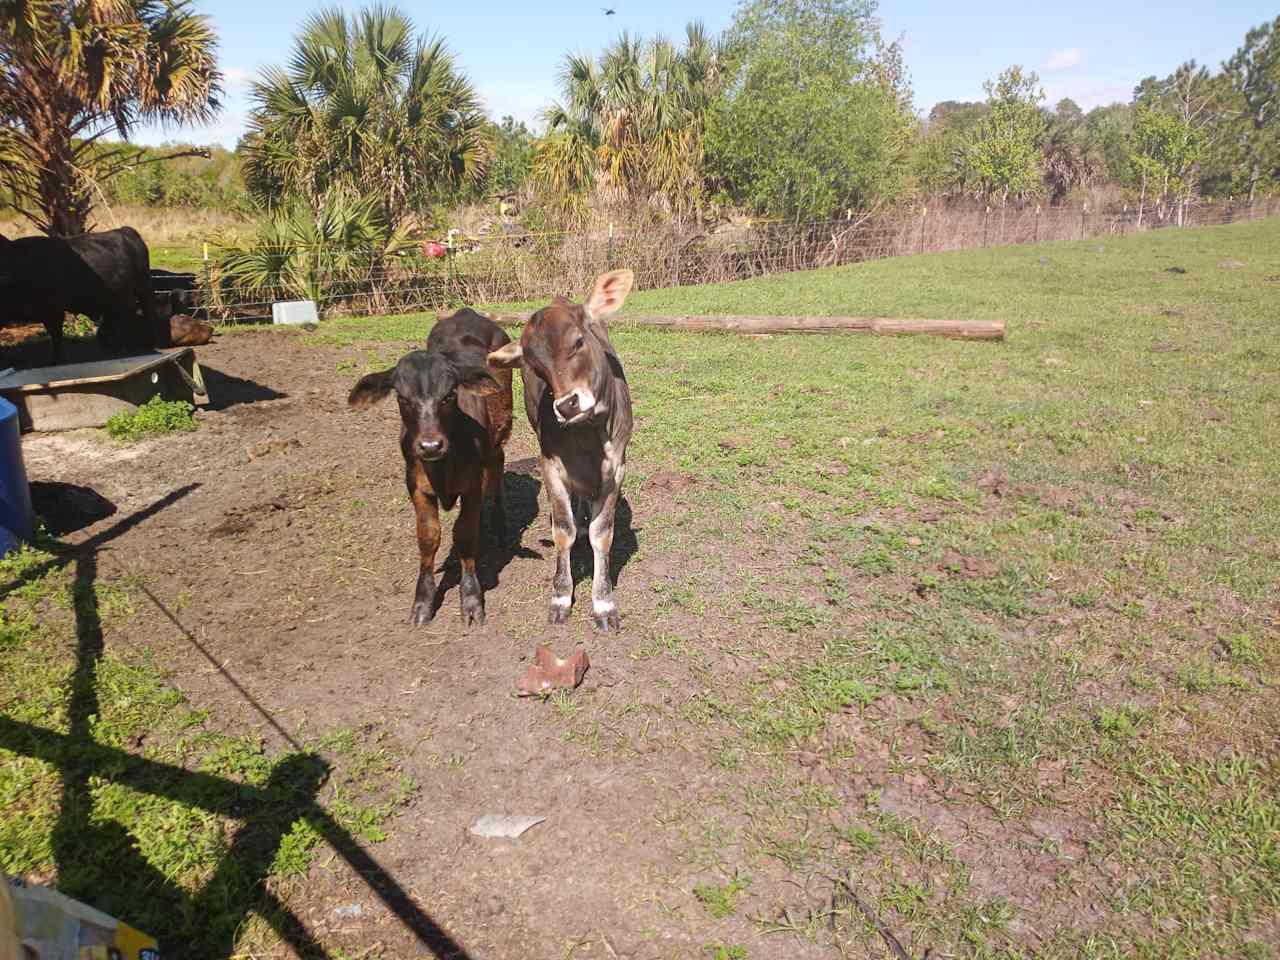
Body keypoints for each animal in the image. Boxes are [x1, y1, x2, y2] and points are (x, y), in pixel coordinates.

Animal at [0, 226, 158, 363]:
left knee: (145, 314)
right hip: (117, 298)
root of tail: (125, 230)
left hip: (143, 289)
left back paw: (145, 344)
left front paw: (59, 360)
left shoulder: (53, 310)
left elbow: (56, 335)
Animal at [350, 305, 514, 624]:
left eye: (449, 395)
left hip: (499, 431)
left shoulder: (473, 484)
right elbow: (428, 537)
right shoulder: (415, 485)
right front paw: (422, 602)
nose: (430, 446)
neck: (443, 468)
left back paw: (501, 524)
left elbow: (464, 534)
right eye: (402, 397)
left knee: (498, 464)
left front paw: (471, 599)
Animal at [486, 268, 632, 632]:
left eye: (578, 341)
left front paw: (603, 603)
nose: (567, 405)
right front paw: (561, 597)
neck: (588, 440)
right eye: (536, 367)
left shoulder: (616, 469)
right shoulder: (550, 465)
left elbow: (601, 534)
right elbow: (563, 532)